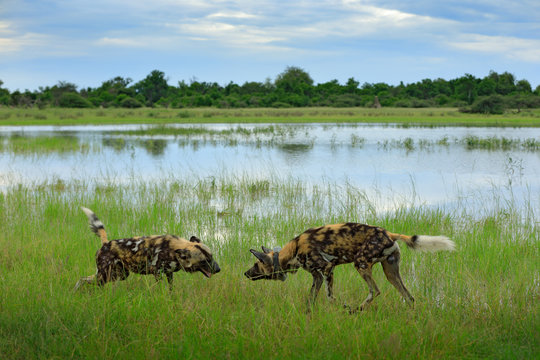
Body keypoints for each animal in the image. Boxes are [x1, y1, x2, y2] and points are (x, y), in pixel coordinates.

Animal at [75, 207, 220, 292]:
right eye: (204, 261)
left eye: (212, 257)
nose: (218, 269)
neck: (173, 250)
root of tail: (106, 244)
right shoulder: (158, 273)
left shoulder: (169, 273)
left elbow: (170, 290)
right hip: (105, 275)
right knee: (83, 280)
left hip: (119, 274)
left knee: (87, 280)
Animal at [246, 221, 456, 310]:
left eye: (256, 264)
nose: (245, 273)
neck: (292, 251)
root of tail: (389, 233)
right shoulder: (317, 277)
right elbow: (311, 298)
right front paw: (308, 314)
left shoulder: (327, 269)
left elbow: (330, 297)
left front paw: (342, 307)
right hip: (390, 272)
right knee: (409, 297)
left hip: (360, 264)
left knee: (375, 291)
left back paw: (356, 310)